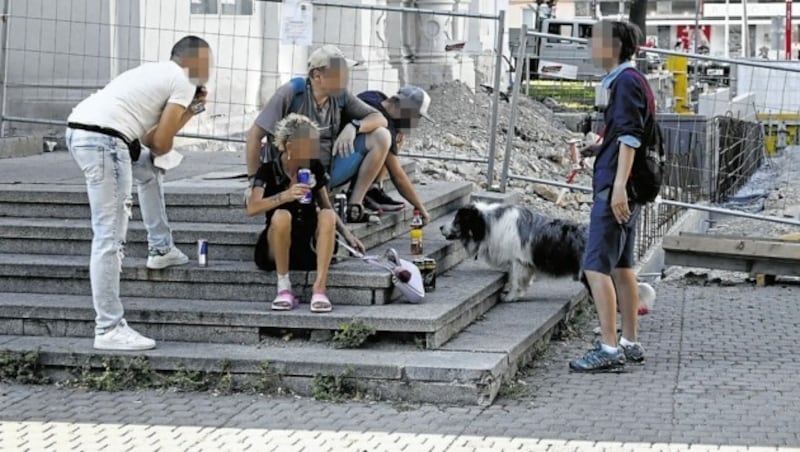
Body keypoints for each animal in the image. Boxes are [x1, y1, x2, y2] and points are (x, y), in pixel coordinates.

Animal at [438, 203, 588, 302]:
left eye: (457, 220)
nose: (440, 227)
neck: (490, 224)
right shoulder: (525, 264)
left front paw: (510, 297)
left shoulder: (519, 261)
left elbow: (516, 281)